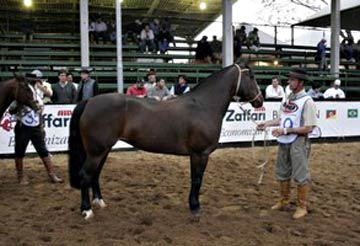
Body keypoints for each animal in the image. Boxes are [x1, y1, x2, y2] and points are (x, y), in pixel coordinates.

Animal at [69, 63, 262, 219]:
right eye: (251, 77)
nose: (260, 100)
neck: (204, 105)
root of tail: (89, 101)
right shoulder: (200, 154)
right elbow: (197, 179)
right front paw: (195, 208)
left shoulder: (197, 155)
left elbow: (195, 179)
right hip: (96, 151)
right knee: (85, 175)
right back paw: (86, 211)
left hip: (103, 150)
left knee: (95, 174)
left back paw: (99, 202)